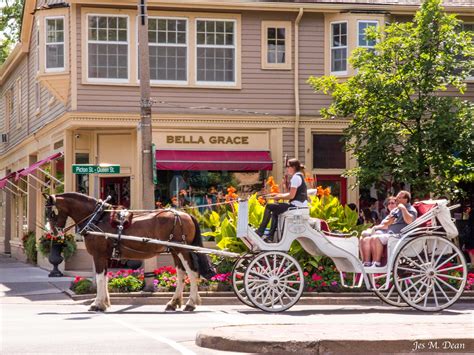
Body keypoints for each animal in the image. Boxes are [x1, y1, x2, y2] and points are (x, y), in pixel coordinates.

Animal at [44, 193, 215, 312]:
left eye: (51, 213)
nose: (53, 233)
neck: (97, 217)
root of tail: (186, 214)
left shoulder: (98, 255)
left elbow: (100, 278)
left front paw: (97, 304)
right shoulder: (105, 256)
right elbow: (104, 278)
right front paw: (104, 303)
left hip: (183, 250)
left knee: (192, 273)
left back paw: (191, 303)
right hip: (174, 250)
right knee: (180, 274)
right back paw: (173, 303)